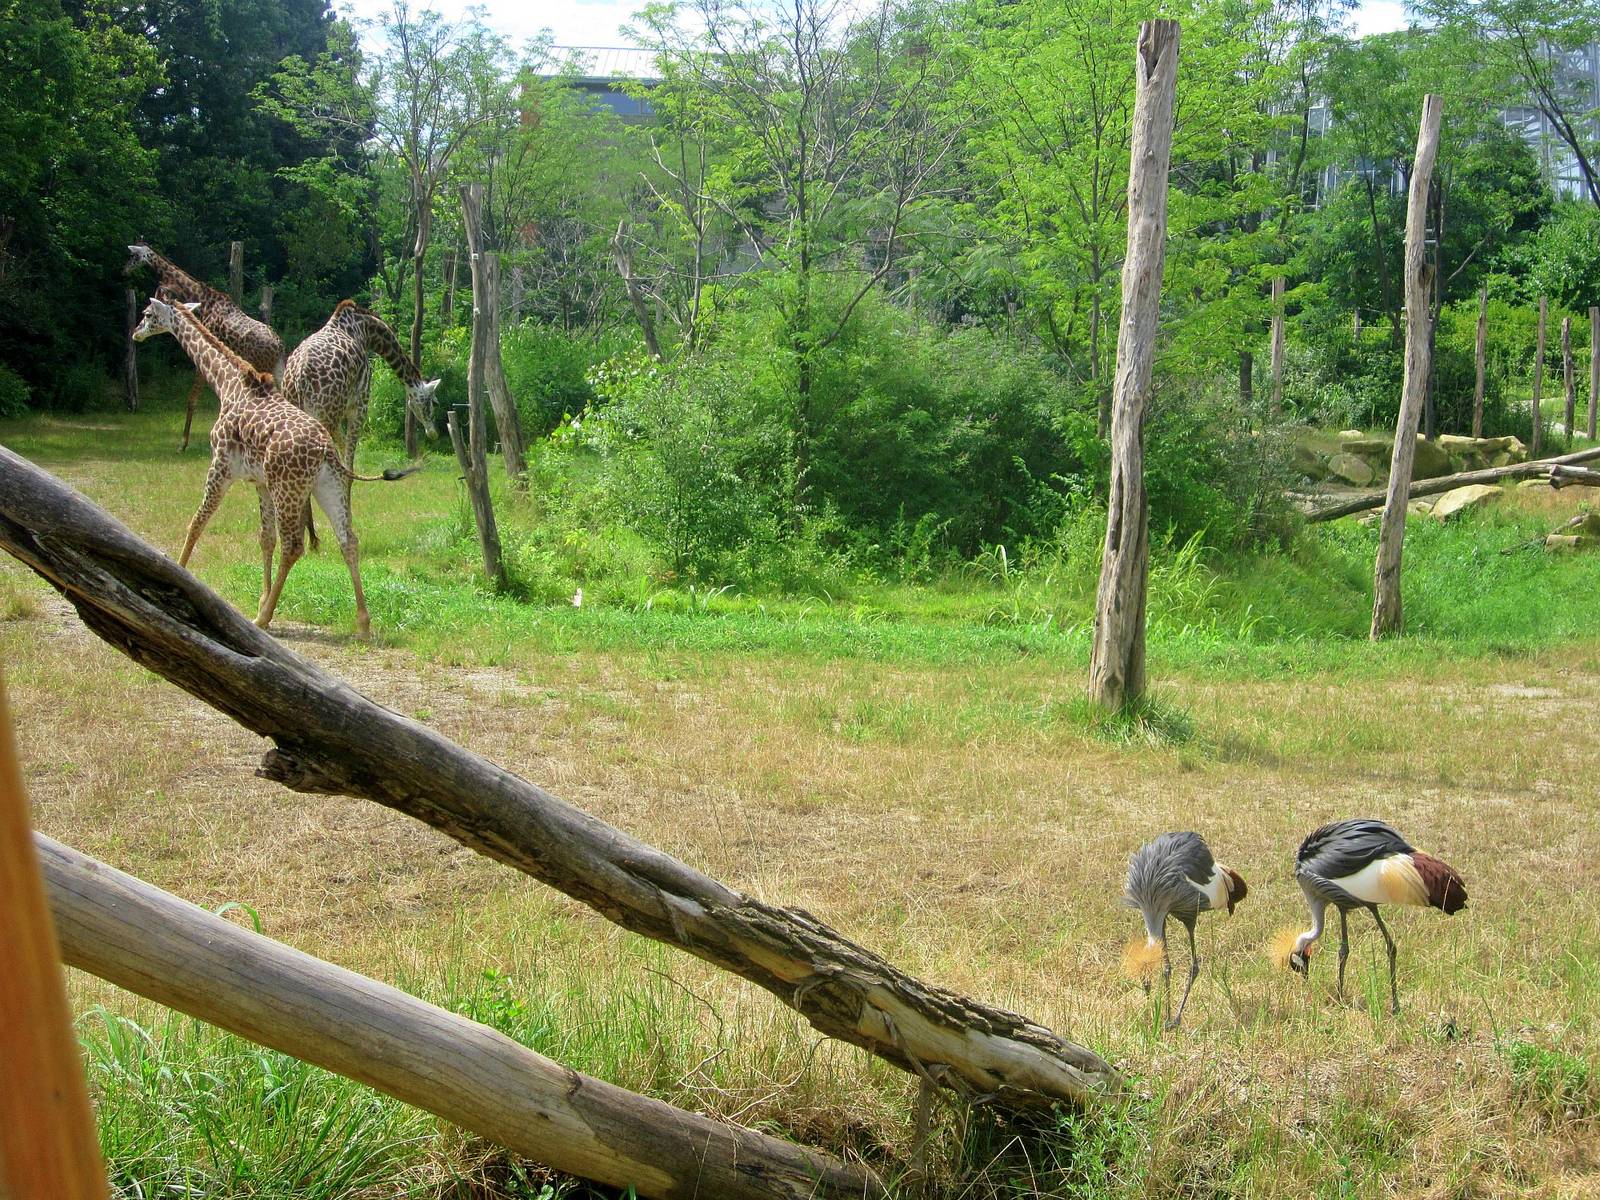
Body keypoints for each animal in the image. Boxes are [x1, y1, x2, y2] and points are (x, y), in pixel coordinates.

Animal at [125, 242, 285, 451]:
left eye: (133, 256)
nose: (124, 270)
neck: (203, 298)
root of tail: (280, 345)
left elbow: (192, 399)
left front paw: (183, 444)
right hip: (276, 370)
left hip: (264, 367)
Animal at [131, 296, 415, 638]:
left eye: (148, 314)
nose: (135, 333)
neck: (228, 384)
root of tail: (325, 450)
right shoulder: (260, 482)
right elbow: (265, 538)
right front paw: (261, 598)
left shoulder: (222, 465)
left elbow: (197, 522)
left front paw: (178, 574)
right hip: (325, 485)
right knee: (347, 539)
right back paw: (362, 622)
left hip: (289, 490)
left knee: (294, 546)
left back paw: (264, 619)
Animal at [282, 299, 439, 549]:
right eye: (432, 402)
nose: (433, 432)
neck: (367, 331)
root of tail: (298, 378)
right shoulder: (359, 407)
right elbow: (348, 467)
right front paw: (347, 523)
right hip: (326, 414)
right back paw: (312, 536)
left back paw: (306, 536)